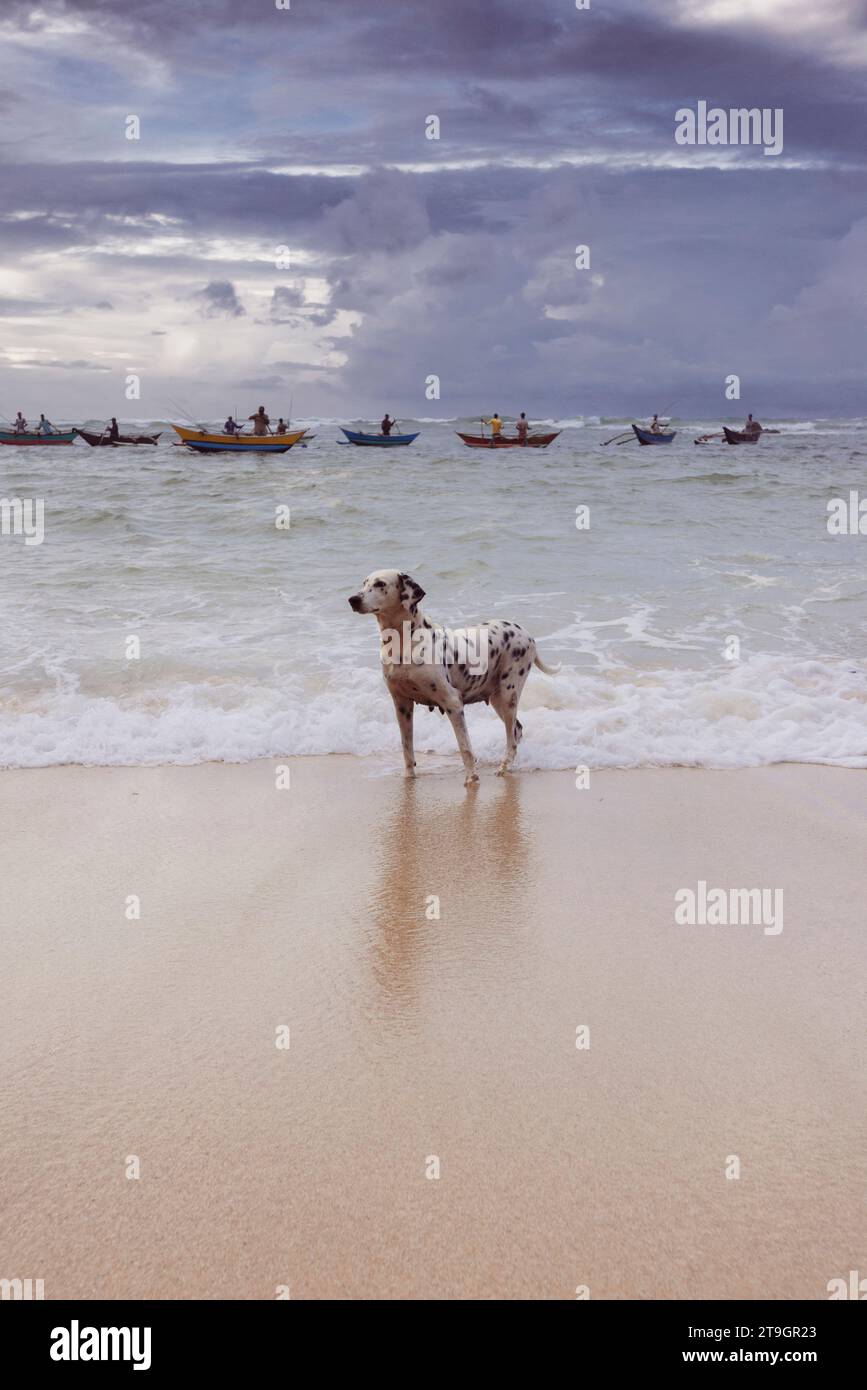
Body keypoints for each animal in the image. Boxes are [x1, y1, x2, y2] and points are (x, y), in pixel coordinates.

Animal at [347, 567, 558, 783]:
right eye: (364, 583)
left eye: (380, 584)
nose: (353, 599)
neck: (403, 642)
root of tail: (526, 634)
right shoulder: (402, 705)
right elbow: (407, 749)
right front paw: (409, 777)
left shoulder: (453, 703)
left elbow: (465, 747)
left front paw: (471, 779)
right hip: (498, 699)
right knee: (517, 730)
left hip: (508, 696)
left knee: (512, 738)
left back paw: (503, 768)